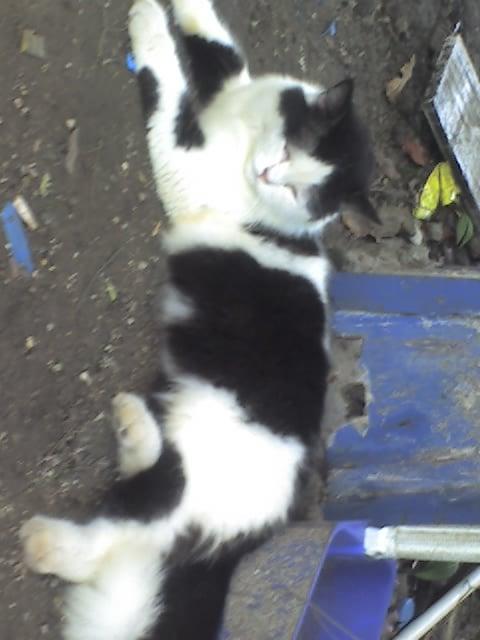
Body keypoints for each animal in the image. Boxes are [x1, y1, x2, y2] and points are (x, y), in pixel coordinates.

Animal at [20, 1, 376, 639]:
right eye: (291, 152)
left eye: (300, 191)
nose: (267, 175)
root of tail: (238, 546)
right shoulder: (238, 84)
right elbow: (218, 44)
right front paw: (176, 11)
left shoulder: (185, 162)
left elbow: (170, 87)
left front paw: (148, 29)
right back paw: (132, 426)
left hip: (178, 495)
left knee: (118, 531)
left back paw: (45, 534)